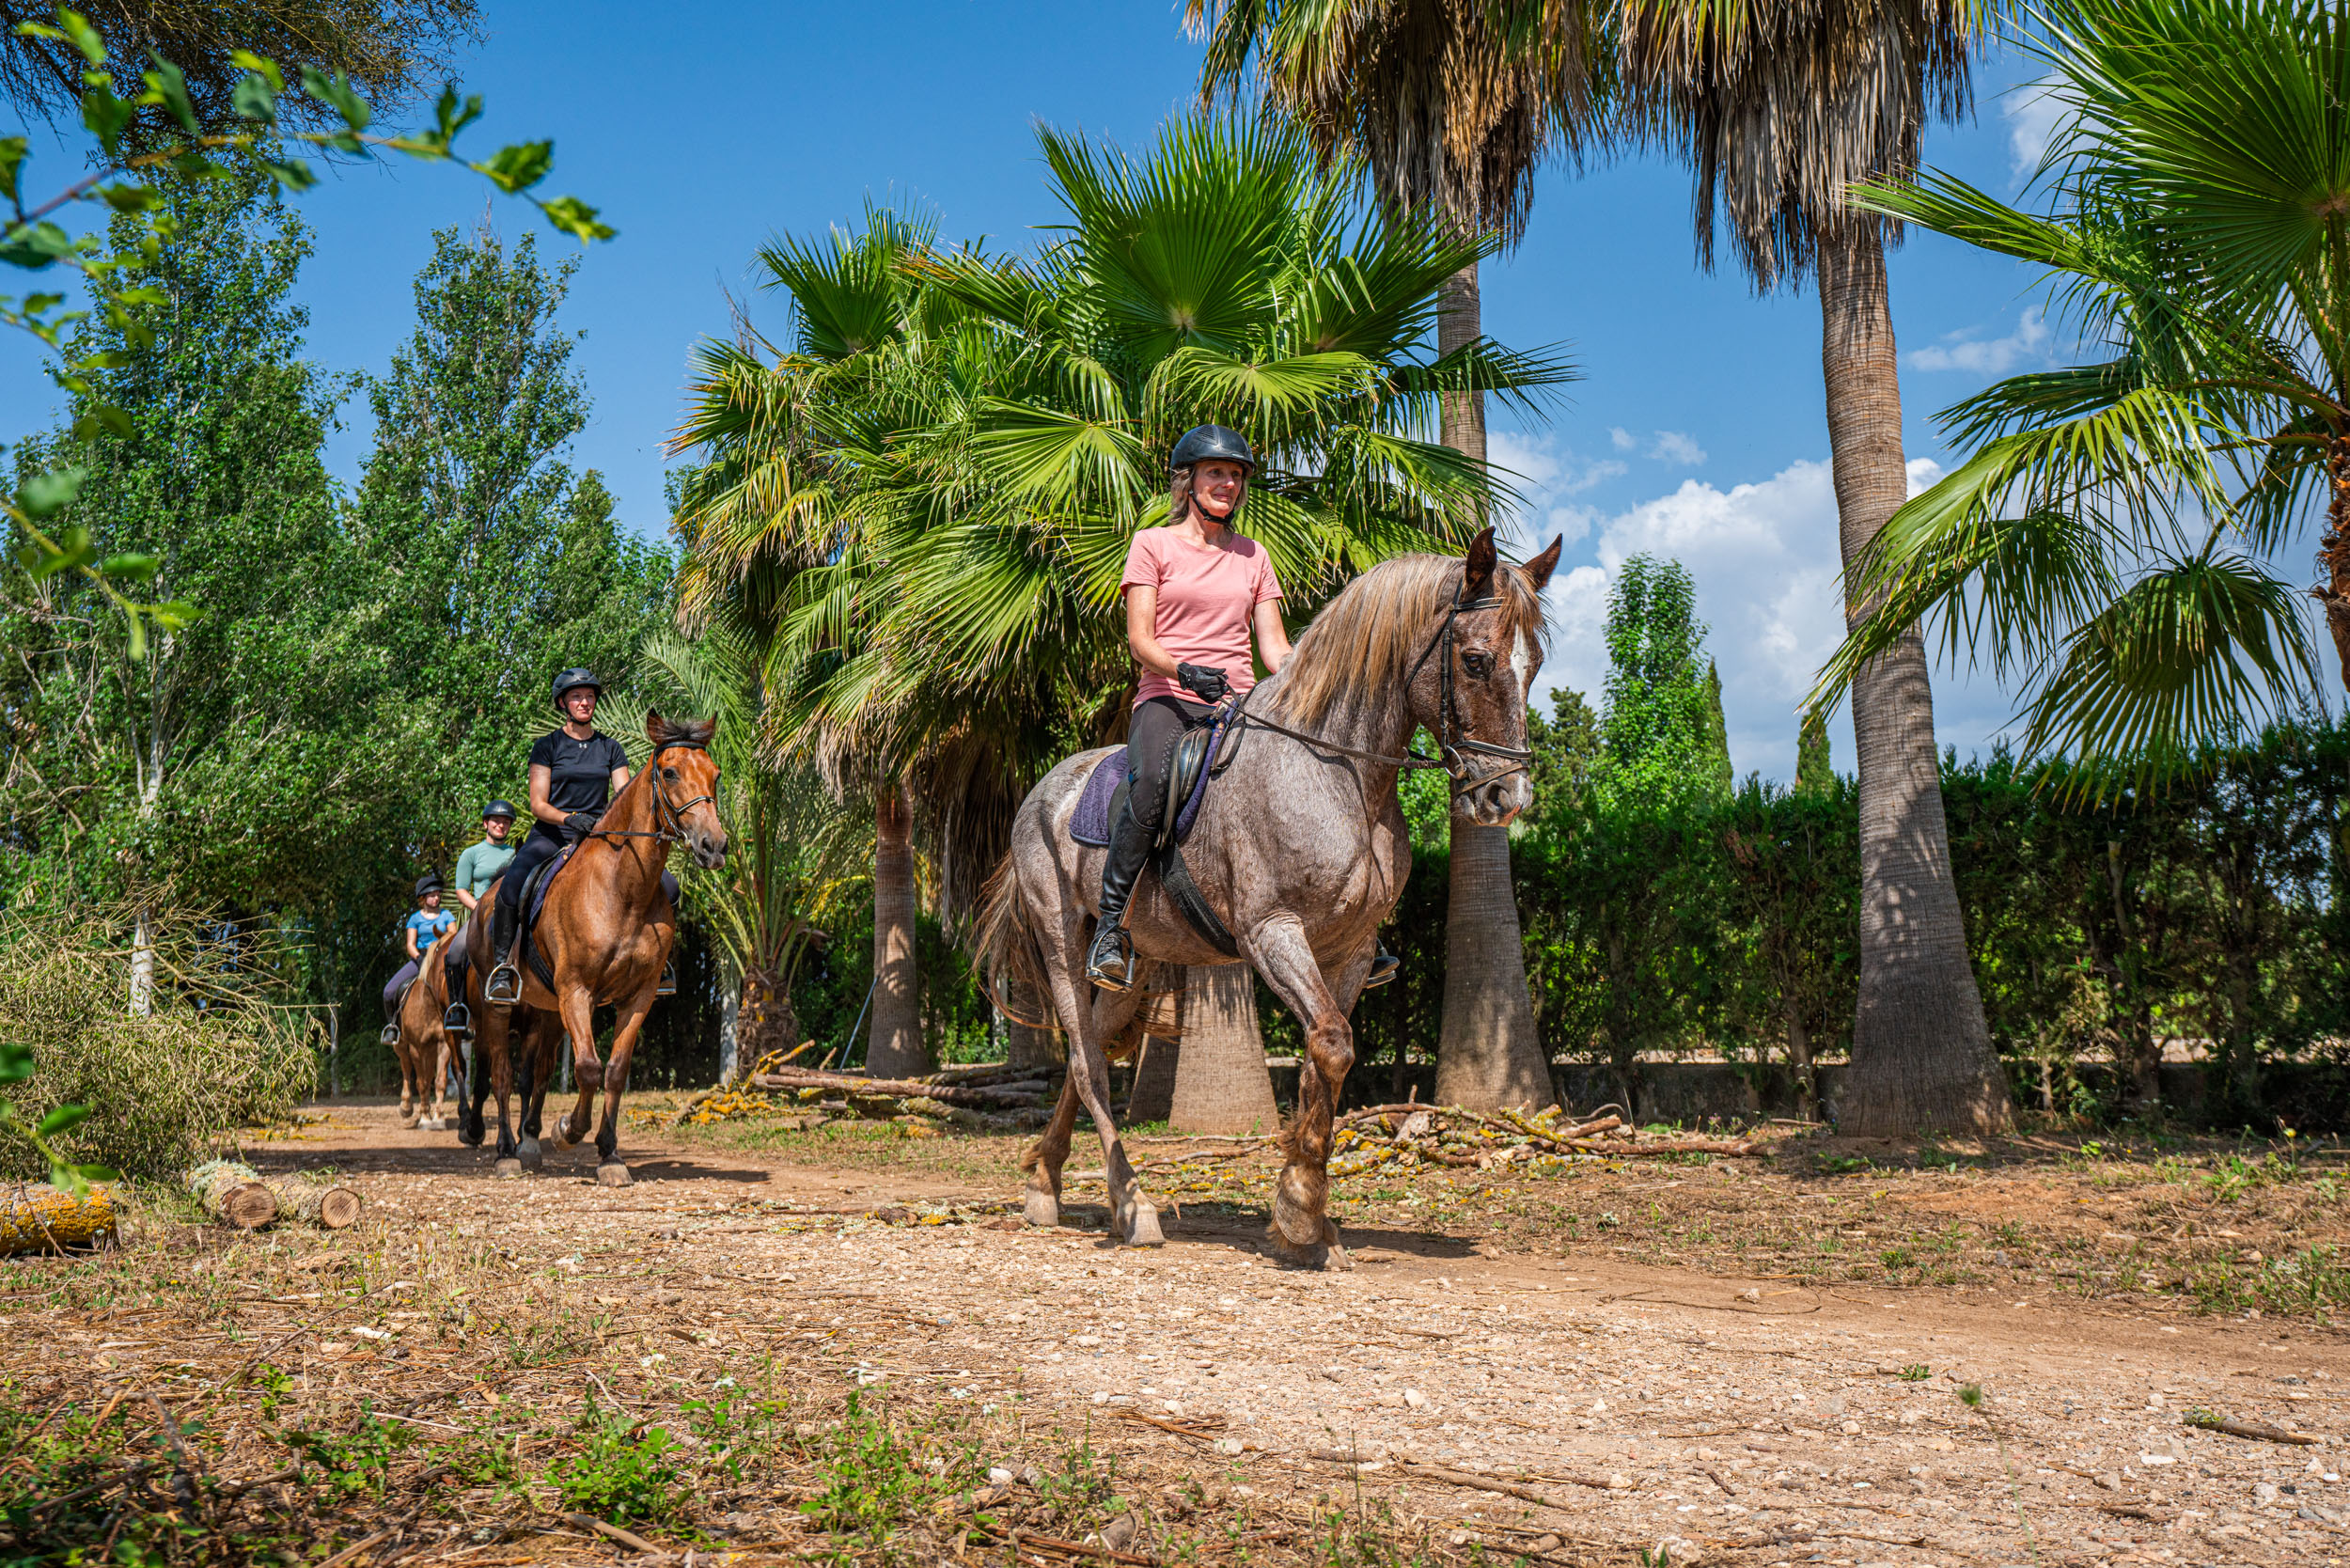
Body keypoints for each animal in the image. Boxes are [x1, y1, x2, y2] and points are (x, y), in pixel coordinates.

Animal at [451, 710, 724, 1175]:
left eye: (716, 775)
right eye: (670, 772)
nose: (715, 845)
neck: (623, 890)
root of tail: (486, 900)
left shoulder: (639, 995)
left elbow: (613, 1070)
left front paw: (610, 1154)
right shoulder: (577, 991)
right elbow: (588, 1068)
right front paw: (569, 1131)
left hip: (546, 1010)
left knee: (535, 1074)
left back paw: (527, 1144)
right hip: (496, 1008)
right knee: (501, 1075)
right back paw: (506, 1150)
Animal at [973, 533, 1560, 1269]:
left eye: (1534, 665)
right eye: (1476, 661)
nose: (1507, 798)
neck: (1336, 773)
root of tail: (1045, 788)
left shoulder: (1350, 951)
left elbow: (1320, 1060)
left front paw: (1304, 1219)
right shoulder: (1272, 933)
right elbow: (1333, 1046)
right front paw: (1302, 1213)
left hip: (1136, 969)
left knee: (1094, 1057)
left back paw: (1046, 1183)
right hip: (1061, 938)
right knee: (1084, 1061)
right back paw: (1131, 1203)